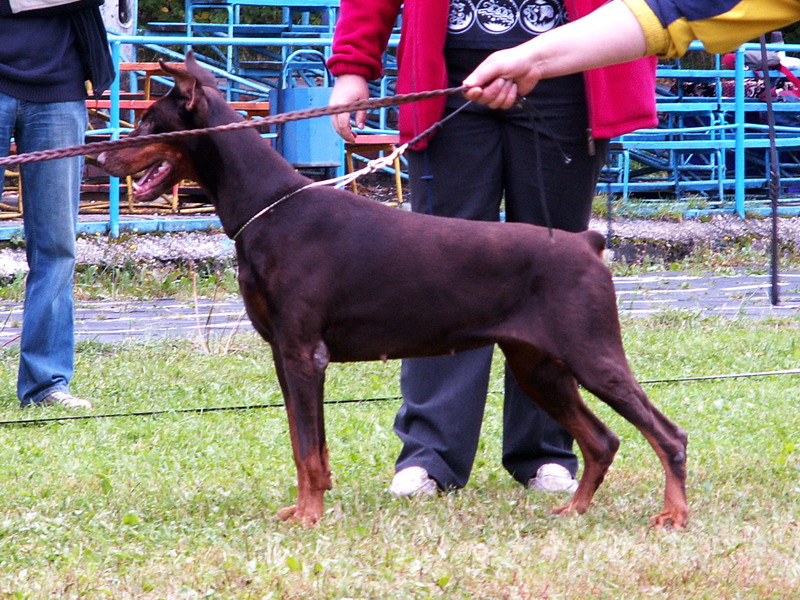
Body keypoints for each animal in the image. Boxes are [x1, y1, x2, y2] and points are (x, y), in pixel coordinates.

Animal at [98, 51, 689, 528]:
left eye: (147, 123)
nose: (98, 157)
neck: (269, 207)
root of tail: (587, 242)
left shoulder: (303, 352)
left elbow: (306, 449)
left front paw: (309, 517)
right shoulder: (284, 354)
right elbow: (307, 447)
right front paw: (306, 507)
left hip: (591, 351)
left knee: (668, 435)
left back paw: (673, 515)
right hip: (538, 365)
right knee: (603, 440)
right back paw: (574, 509)